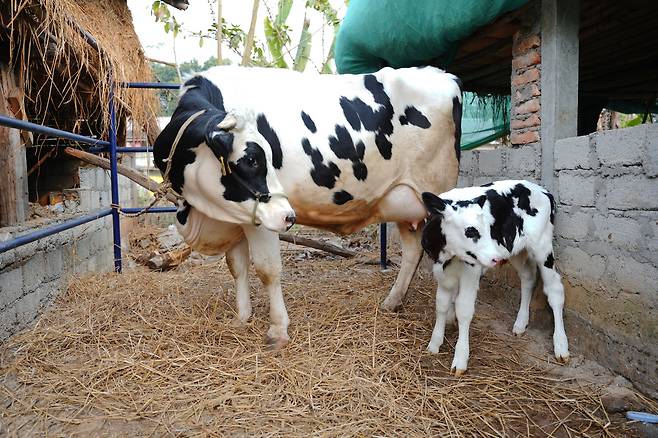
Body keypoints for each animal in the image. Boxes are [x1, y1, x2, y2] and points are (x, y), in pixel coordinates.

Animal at [154, 65, 462, 348]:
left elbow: (267, 269)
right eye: (251, 159)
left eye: (265, 156)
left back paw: (450, 318)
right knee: (413, 251)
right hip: (404, 202)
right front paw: (242, 317)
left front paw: (278, 329)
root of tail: (443, 75)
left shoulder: (264, 217)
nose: (289, 216)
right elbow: (237, 266)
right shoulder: (236, 214)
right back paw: (393, 301)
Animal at [420, 180, 568, 374]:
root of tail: (542, 190)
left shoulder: (471, 272)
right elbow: (441, 304)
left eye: (488, 228)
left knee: (555, 290)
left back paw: (561, 346)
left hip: (542, 247)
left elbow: (464, 309)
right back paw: (520, 323)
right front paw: (434, 344)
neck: (447, 255)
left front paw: (460, 359)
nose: (495, 258)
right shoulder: (441, 272)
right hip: (514, 250)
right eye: (470, 231)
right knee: (528, 277)